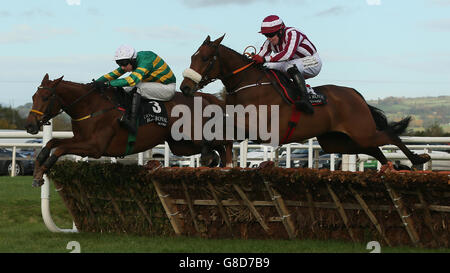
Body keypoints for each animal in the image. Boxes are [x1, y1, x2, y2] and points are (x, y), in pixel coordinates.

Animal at [26, 73, 234, 186]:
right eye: (34, 96)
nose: (30, 125)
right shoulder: (81, 139)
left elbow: (60, 148)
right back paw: (216, 162)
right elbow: (53, 142)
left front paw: (42, 171)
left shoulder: (95, 147)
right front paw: (38, 166)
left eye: (46, 97)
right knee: (216, 147)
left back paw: (219, 162)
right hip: (181, 144)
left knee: (222, 143)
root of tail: (203, 96)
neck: (90, 106)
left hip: (193, 136)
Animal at [178, 34, 428, 169]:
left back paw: (417, 158)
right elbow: (216, 133)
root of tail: (354, 94)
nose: (185, 87)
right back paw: (391, 166)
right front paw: (210, 156)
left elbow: (222, 134)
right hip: (336, 141)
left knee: (390, 136)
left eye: (205, 58)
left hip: (360, 131)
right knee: (373, 148)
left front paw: (210, 156)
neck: (247, 84)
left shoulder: (257, 128)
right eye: (192, 56)